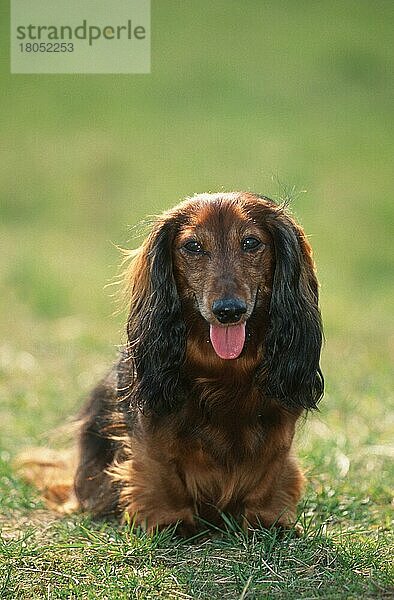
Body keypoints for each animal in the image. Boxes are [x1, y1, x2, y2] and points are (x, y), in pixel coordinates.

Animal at [18, 191, 324, 536]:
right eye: (193, 246)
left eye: (250, 243)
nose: (228, 311)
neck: (223, 369)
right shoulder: (150, 430)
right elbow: (159, 472)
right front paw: (171, 522)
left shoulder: (279, 429)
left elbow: (270, 474)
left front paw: (266, 522)